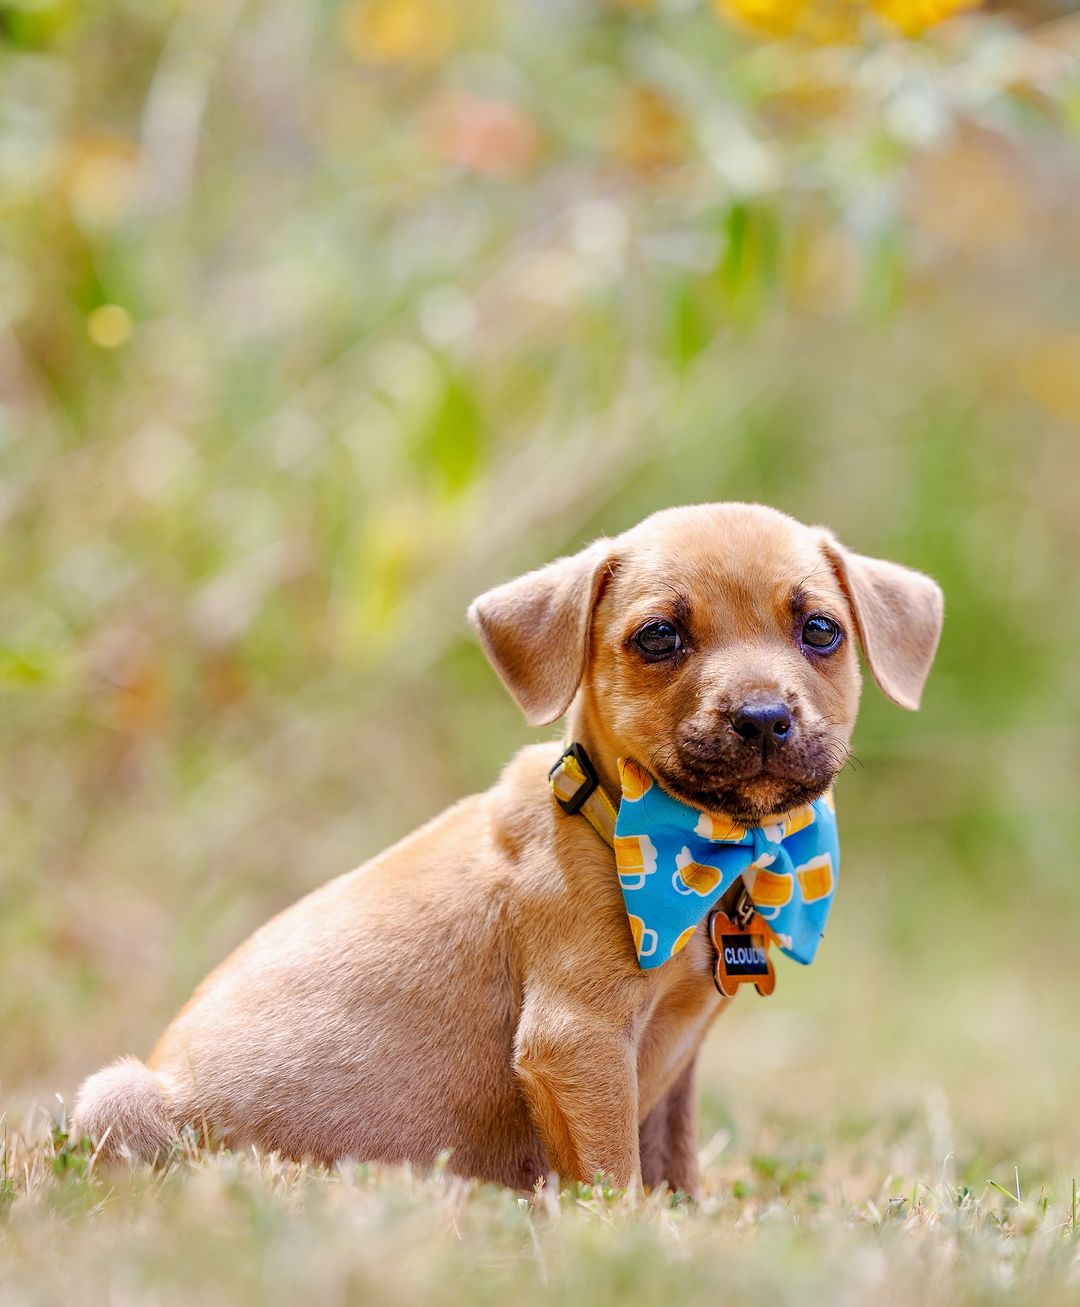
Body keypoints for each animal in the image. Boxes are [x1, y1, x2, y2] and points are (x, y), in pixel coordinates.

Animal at [75, 501, 936, 1197]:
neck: (658, 833)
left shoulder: (672, 1065)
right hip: (115, 1100)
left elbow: (673, 1161)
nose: (761, 718)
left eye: (820, 630)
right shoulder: (577, 1040)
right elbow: (615, 1175)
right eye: (660, 636)